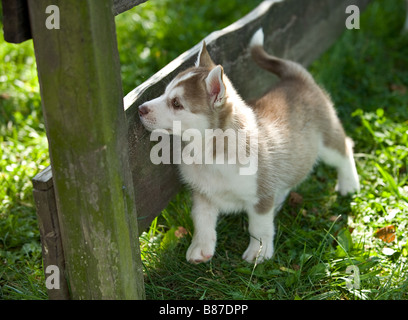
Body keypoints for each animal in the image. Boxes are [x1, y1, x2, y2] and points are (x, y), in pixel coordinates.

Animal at [138, 28, 360, 262]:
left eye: (176, 104)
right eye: (164, 93)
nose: (140, 109)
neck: (210, 151)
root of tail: (295, 77)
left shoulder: (260, 196)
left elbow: (259, 227)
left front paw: (258, 253)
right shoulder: (202, 193)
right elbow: (202, 220)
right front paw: (201, 248)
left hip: (328, 140)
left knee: (345, 147)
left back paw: (349, 183)